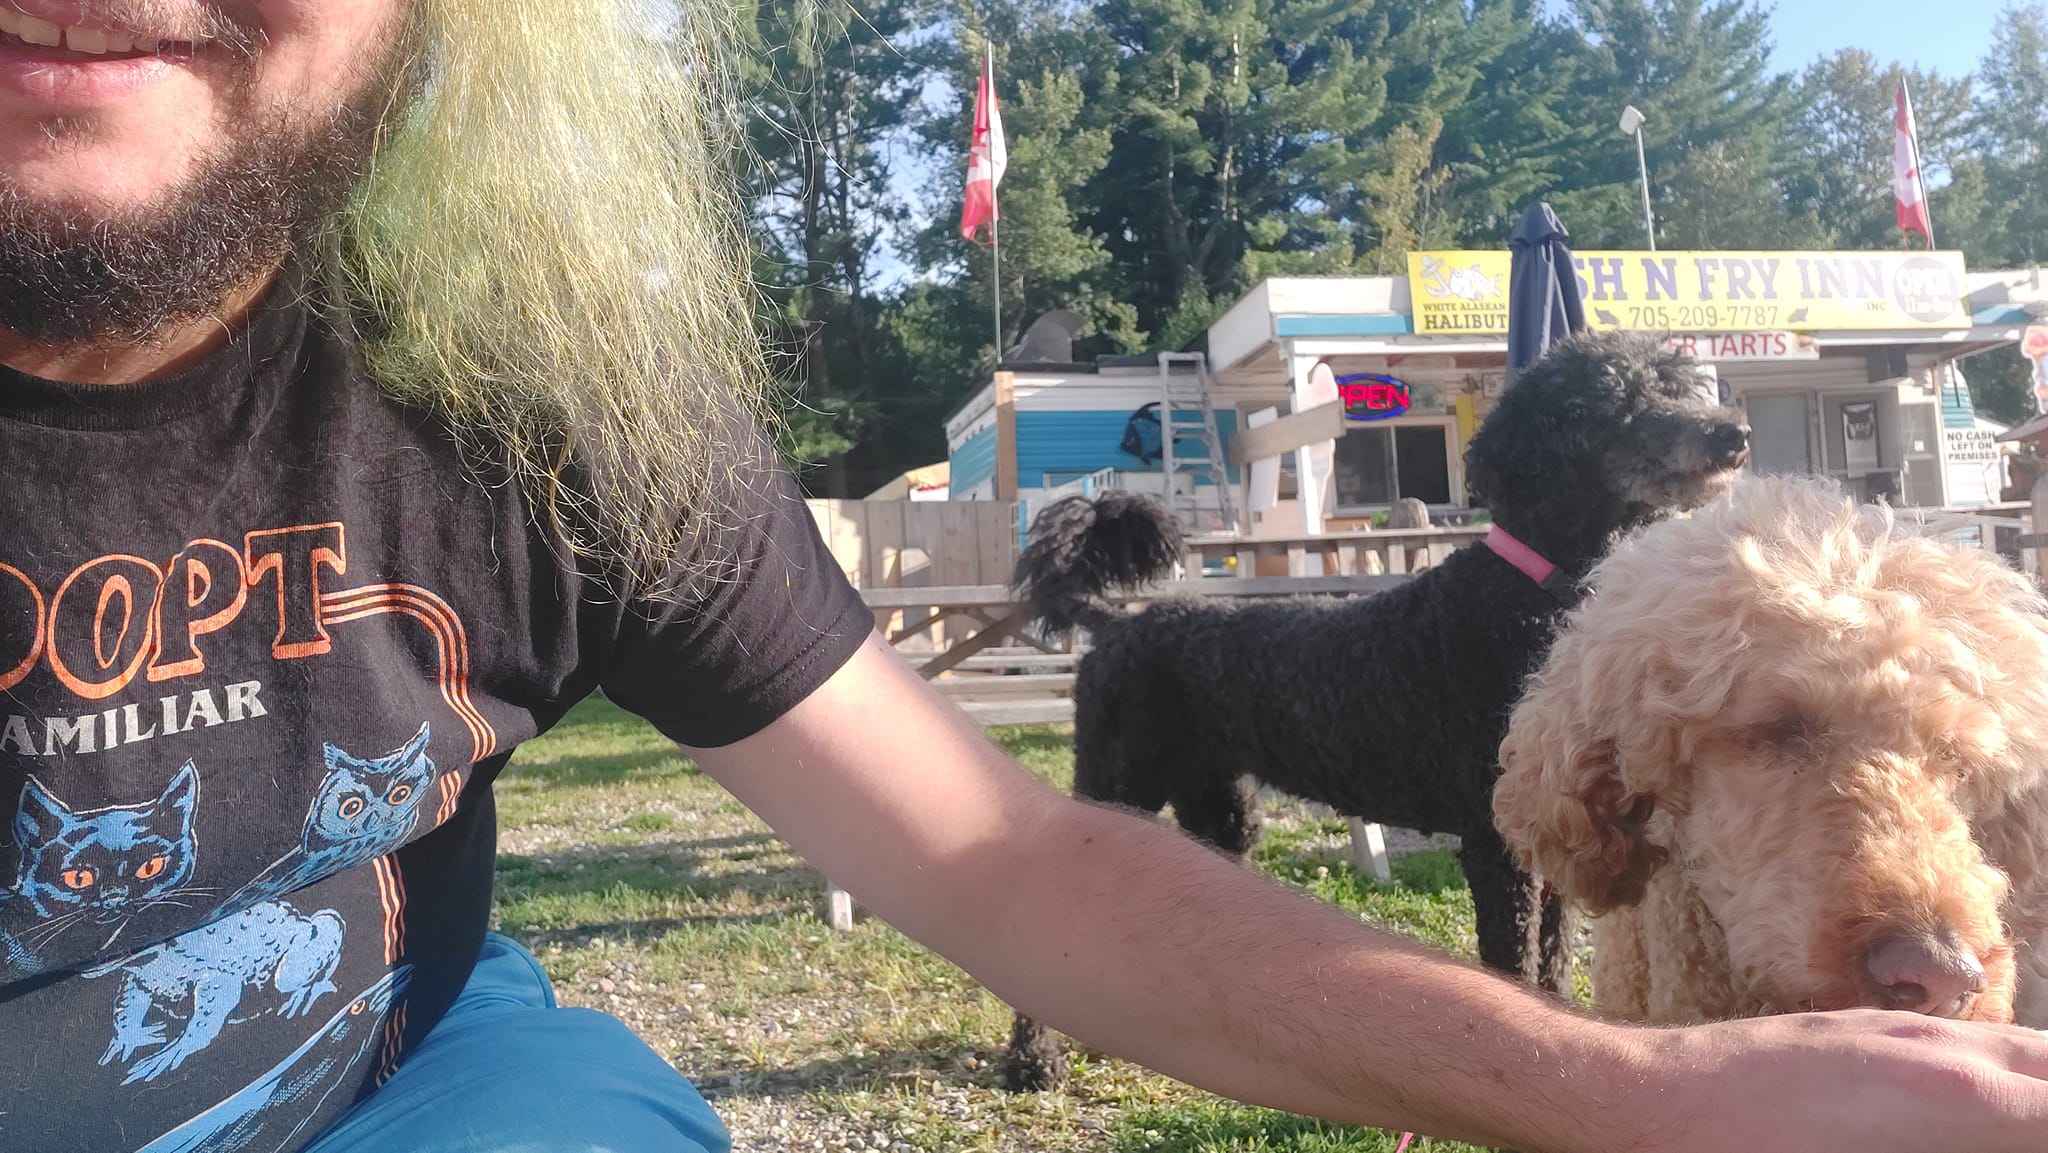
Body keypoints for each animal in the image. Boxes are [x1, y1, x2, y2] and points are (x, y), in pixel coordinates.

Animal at [999, 327, 1753, 1089]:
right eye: (1613, 401)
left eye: (1676, 384)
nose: (1734, 435)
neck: (1526, 595)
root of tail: (1116, 624)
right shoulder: (1495, 845)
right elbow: (1512, 965)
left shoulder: (1547, 833)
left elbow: (1552, 961)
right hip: (1116, 784)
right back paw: (1034, 1058)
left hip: (1218, 807)